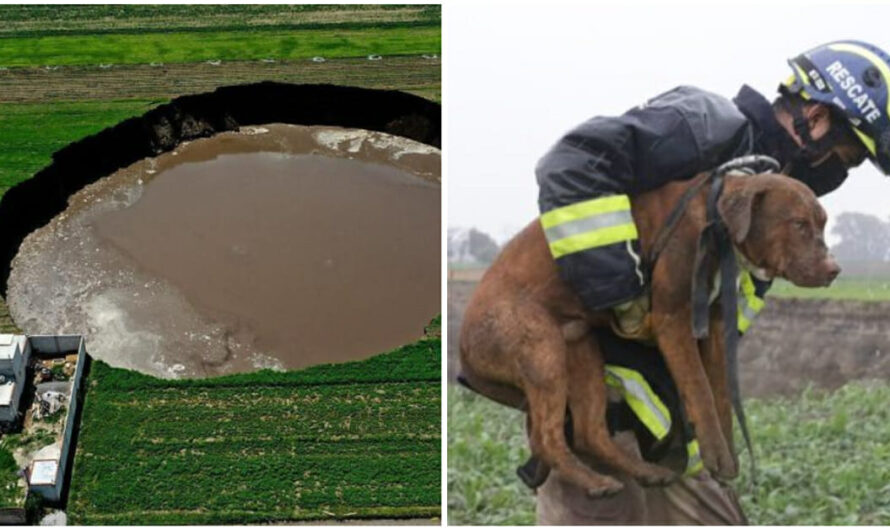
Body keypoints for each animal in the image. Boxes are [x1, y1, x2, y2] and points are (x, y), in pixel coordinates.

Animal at [458, 172, 840, 496]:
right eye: (799, 224)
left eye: (822, 224)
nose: (834, 270)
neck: (715, 223)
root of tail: (462, 346)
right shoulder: (673, 320)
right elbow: (700, 389)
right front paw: (715, 456)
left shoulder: (715, 326)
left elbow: (721, 396)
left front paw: (728, 459)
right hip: (541, 349)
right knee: (547, 437)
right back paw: (595, 482)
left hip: (580, 349)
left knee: (588, 431)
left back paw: (642, 473)